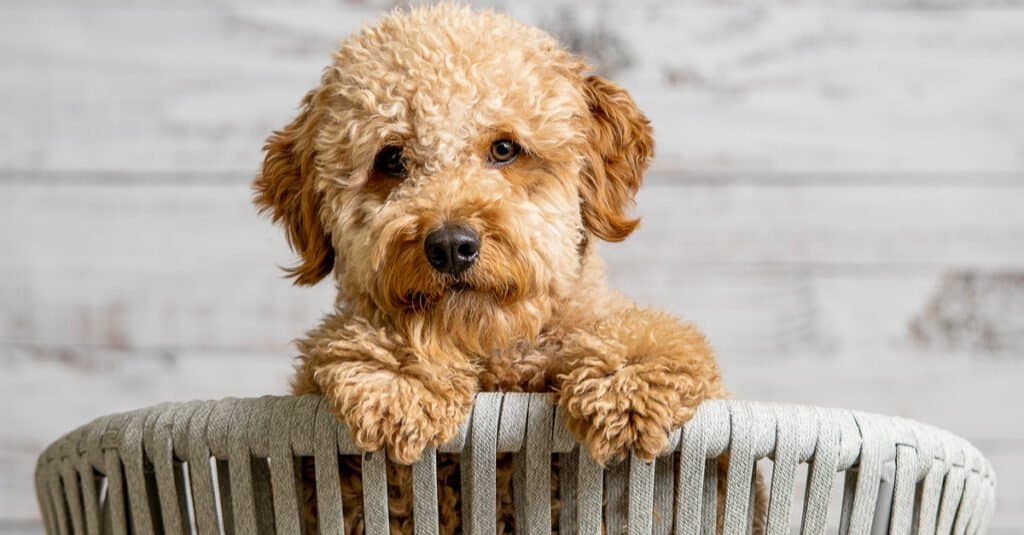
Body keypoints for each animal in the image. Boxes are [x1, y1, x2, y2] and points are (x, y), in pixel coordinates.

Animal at [251, 3, 757, 528]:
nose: (451, 245)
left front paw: (627, 383)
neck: (497, 354)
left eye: (504, 148)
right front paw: (398, 379)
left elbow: (662, 340)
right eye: (390, 159)